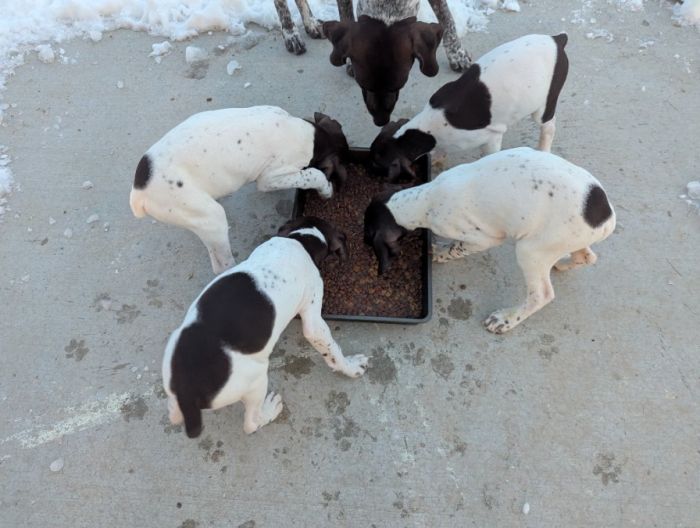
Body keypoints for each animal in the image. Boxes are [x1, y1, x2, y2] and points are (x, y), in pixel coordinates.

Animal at [129, 105, 348, 274]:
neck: (309, 134)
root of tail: (139, 194)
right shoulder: (270, 177)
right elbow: (313, 174)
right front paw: (326, 189)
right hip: (212, 218)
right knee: (221, 265)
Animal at [162, 214, 370, 438]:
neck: (301, 239)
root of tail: (187, 391)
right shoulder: (314, 320)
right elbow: (333, 351)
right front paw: (351, 366)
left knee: (173, 412)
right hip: (256, 380)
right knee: (251, 423)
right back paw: (270, 411)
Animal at [364, 146, 616, 332]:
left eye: (367, 233)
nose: (364, 242)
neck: (425, 198)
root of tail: (607, 218)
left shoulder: (484, 238)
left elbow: (458, 247)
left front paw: (441, 253)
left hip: (529, 250)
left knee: (541, 295)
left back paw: (506, 319)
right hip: (565, 239)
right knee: (587, 256)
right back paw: (562, 264)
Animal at [372, 34, 568, 180]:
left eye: (377, 164)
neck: (426, 129)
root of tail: (557, 40)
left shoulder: (491, 138)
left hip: (543, 106)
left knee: (548, 126)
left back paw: (543, 149)